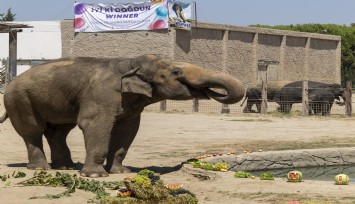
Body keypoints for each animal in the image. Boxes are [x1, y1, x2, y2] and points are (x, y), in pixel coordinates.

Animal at [0, 54, 248, 177]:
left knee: (58, 131)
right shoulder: (101, 93)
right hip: (19, 100)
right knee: (33, 131)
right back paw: (41, 169)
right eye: (176, 72)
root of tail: (9, 83)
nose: (209, 92)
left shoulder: (129, 104)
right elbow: (95, 124)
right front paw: (96, 176)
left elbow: (127, 130)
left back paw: (65, 168)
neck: (130, 62)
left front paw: (121, 172)